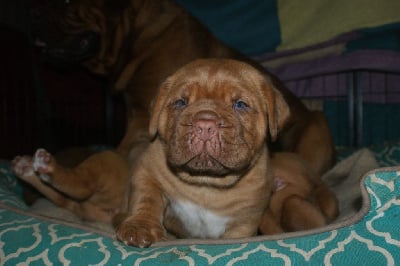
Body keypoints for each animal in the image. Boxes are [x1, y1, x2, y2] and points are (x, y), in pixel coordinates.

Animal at [35, 0, 338, 179]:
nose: (32, 12)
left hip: (318, 126)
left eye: (67, 2)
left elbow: (121, 150)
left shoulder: (143, 119)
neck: (136, 37)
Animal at [114, 59, 290, 248]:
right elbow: (147, 198)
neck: (205, 183)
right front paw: (140, 227)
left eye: (240, 105)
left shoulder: (246, 219)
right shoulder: (147, 171)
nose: (205, 125)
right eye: (180, 102)